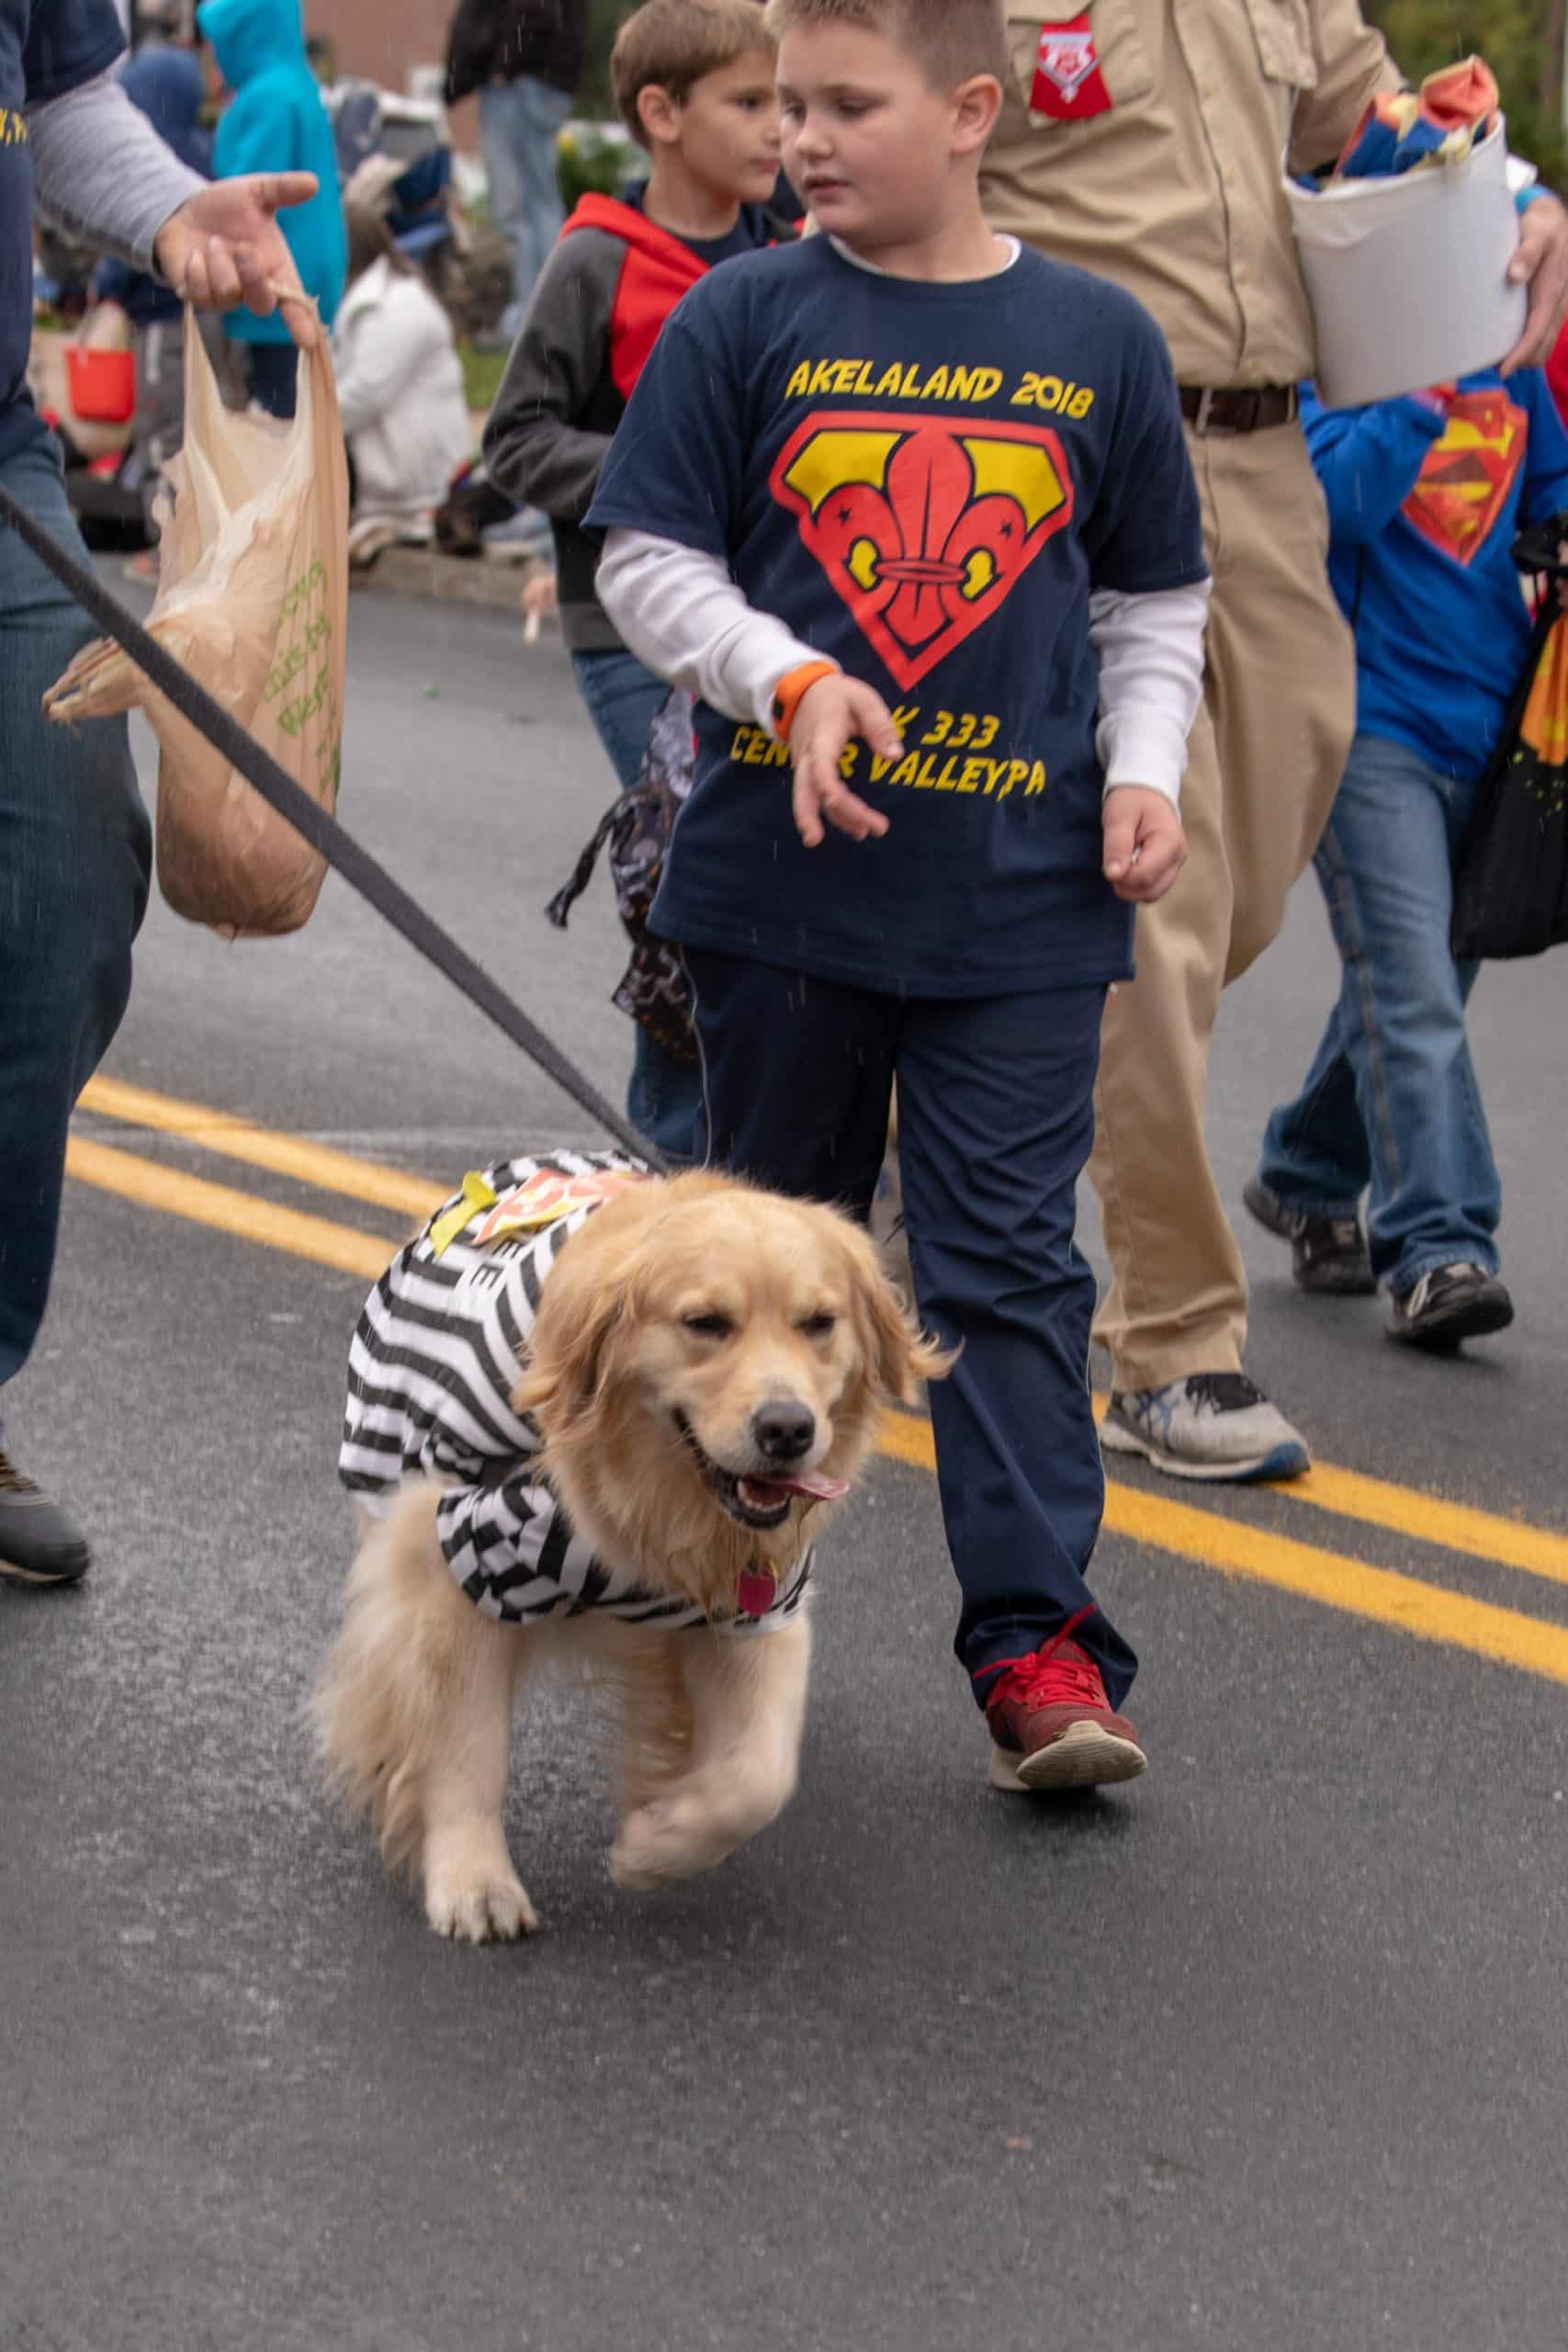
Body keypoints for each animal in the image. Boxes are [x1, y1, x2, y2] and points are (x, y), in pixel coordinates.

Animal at [313, 1158, 949, 1941]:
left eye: (818, 1324)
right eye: (705, 1324)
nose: (788, 1429)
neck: (645, 1497)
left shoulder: (763, 1600)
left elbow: (757, 1775)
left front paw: (656, 1841)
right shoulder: (458, 1557)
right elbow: (466, 1744)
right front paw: (473, 1881)